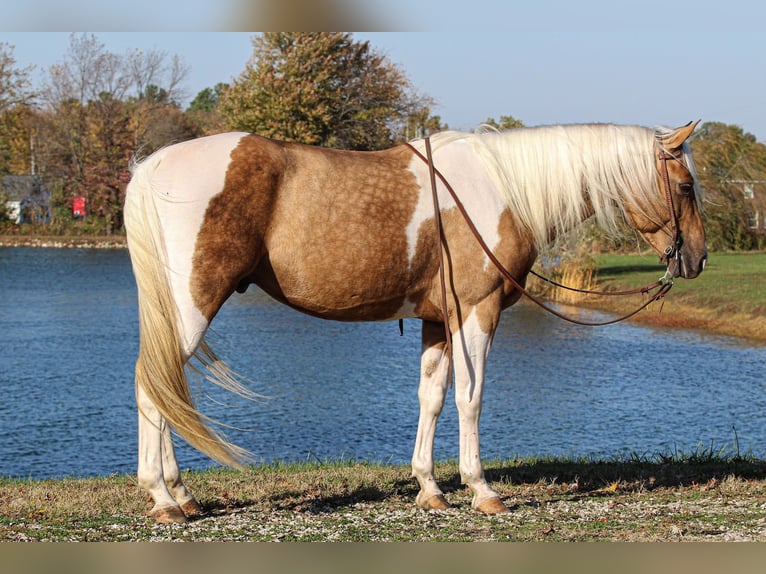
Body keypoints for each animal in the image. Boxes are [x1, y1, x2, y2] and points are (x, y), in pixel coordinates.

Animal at [124, 121, 707, 523]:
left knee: (163, 387)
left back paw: (181, 495)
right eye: (685, 186)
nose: (698, 259)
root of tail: (153, 167)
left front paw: (431, 488)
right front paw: (482, 490)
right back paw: (163, 498)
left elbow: (432, 396)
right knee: (153, 387)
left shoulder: (437, 321)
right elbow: (470, 397)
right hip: (192, 305)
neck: (502, 191)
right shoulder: (476, 310)